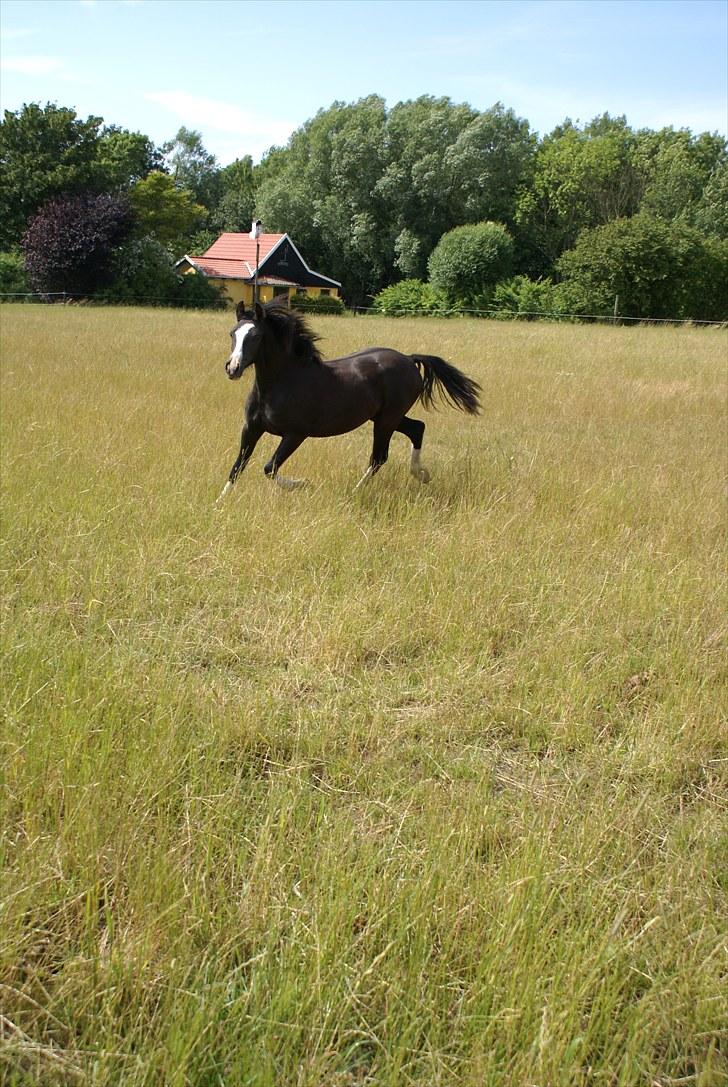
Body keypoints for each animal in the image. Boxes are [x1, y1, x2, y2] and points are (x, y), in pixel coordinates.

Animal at [217, 300, 481, 501]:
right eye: (232, 333)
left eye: (256, 336)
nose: (233, 368)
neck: (281, 382)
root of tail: (409, 358)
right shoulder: (252, 428)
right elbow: (237, 467)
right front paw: (220, 504)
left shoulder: (295, 434)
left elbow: (269, 467)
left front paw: (303, 484)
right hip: (387, 417)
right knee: (417, 428)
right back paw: (422, 474)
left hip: (386, 420)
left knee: (379, 457)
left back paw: (356, 491)